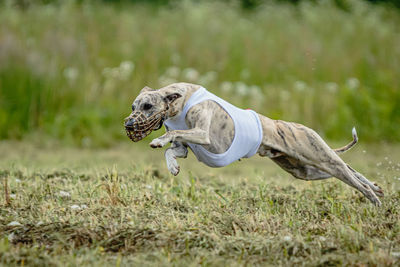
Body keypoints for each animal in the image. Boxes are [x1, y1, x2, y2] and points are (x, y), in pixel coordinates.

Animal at [125, 82, 384, 206]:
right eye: (133, 106)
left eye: (147, 106)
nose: (128, 124)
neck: (180, 100)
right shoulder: (183, 146)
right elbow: (173, 149)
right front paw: (172, 167)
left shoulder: (202, 134)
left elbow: (175, 134)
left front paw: (158, 140)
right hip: (304, 169)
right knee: (348, 168)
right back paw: (375, 186)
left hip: (318, 156)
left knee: (347, 171)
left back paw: (375, 198)